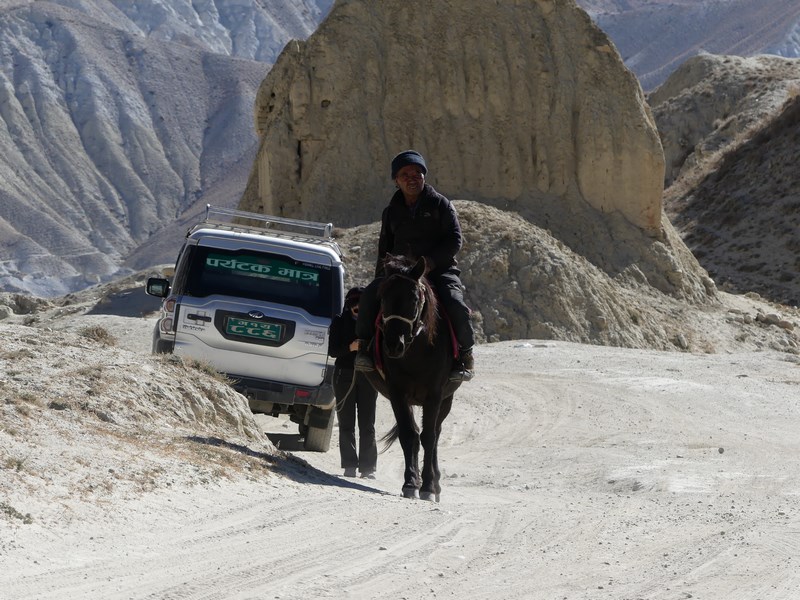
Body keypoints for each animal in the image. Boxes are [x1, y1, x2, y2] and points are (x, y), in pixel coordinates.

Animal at [362, 253, 462, 502]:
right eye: (382, 298)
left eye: (415, 299)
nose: (393, 344)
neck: (416, 349)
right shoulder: (397, 393)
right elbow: (409, 435)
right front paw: (410, 483)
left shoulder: (434, 395)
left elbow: (429, 437)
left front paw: (427, 487)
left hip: (446, 400)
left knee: (435, 434)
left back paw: (435, 483)